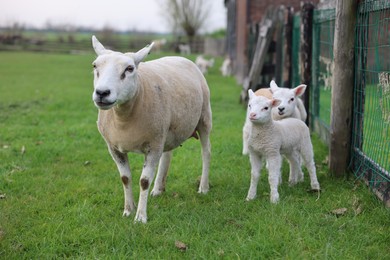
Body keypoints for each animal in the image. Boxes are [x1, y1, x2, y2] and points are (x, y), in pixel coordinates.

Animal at [90, 35, 212, 223]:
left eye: (129, 68)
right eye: (95, 66)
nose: (102, 93)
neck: (123, 118)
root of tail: (181, 58)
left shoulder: (153, 145)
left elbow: (144, 181)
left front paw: (140, 217)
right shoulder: (113, 147)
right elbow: (125, 178)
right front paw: (128, 210)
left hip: (204, 117)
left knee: (206, 153)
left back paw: (203, 187)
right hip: (168, 131)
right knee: (167, 155)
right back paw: (158, 189)